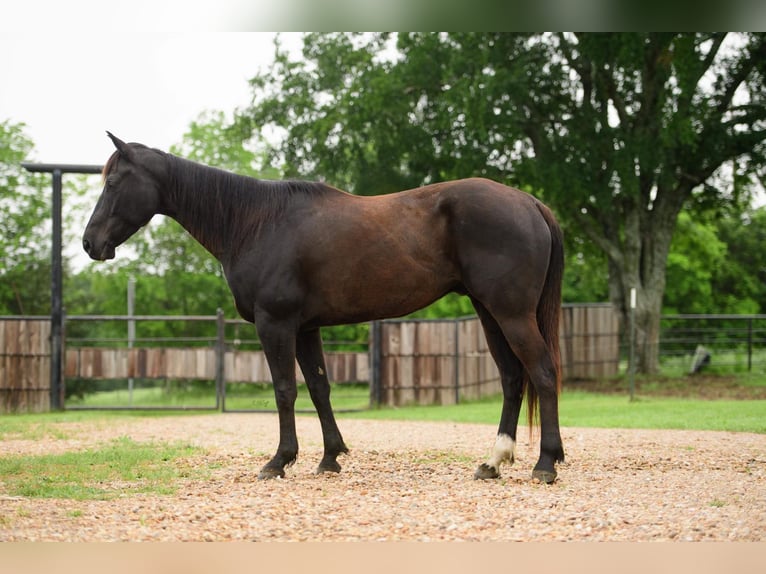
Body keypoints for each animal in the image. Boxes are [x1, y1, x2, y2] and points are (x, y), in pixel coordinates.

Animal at [84, 133, 568, 484]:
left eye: (113, 182)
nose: (90, 243)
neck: (254, 222)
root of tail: (529, 202)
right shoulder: (305, 328)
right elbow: (319, 388)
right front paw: (330, 457)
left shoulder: (275, 324)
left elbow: (284, 390)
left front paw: (279, 461)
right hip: (490, 313)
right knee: (512, 378)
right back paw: (494, 461)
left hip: (510, 313)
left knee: (542, 372)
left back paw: (544, 464)